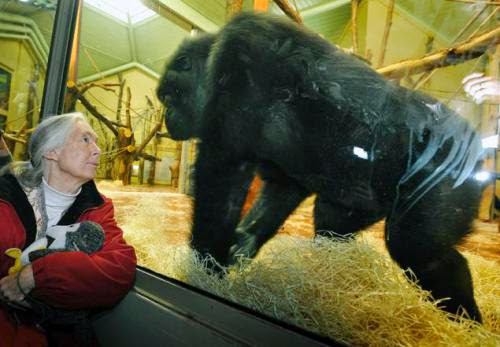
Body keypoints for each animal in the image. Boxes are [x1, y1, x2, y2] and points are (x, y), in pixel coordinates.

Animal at [158, 12, 486, 322]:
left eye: (168, 97)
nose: (167, 119)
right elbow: (283, 188)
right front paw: (241, 244)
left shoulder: (244, 53)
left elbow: (223, 175)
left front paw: (205, 268)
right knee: (333, 226)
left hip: (448, 167)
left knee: (421, 251)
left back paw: (466, 323)